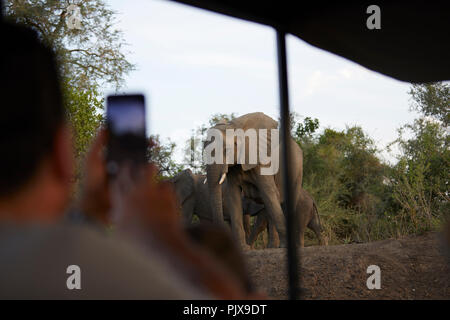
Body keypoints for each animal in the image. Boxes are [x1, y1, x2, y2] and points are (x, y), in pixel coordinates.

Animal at [205, 111, 304, 249]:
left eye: (227, 150)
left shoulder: (261, 162)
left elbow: (269, 192)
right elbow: (233, 196)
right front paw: (243, 248)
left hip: (296, 168)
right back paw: (272, 247)